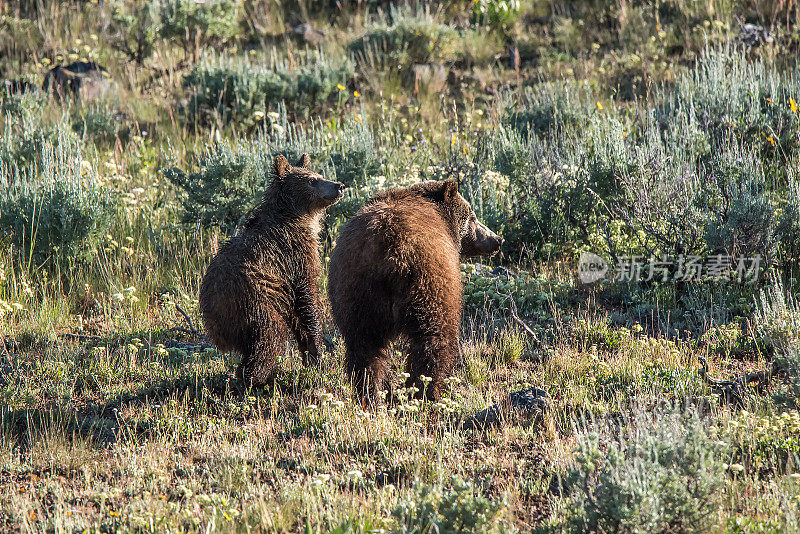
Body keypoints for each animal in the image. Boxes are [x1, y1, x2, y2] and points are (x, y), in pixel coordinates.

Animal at [200, 153, 344, 388]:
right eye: (312, 180)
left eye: (319, 174)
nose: (339, 186)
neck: (296, 218)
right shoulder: (296, 257)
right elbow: (307, 298)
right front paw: (320, 353)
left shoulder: (285, 285)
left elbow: (297, 317)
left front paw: (310, 357)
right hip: (254, 303)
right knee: (269, 337)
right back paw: (258, 379)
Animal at [328, 179, 504, 402]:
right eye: (472, 217)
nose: (497, 240)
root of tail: (389, 253)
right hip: (427, 282)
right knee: (433, 338)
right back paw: (428, 389)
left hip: (355, 290)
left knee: (364, 346)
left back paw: (371, 392)